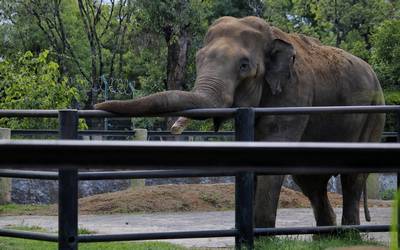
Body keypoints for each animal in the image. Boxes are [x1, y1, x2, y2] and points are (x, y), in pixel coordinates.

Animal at [95, 16, 386, 229]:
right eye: (198, 60)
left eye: (244, 66)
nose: (98, 105)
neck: (271, 34)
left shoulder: (295, 94)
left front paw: (263, 236)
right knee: (310, 180)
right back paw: (327, 236)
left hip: (373, 115)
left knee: (351, 177)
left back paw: (349, 235)